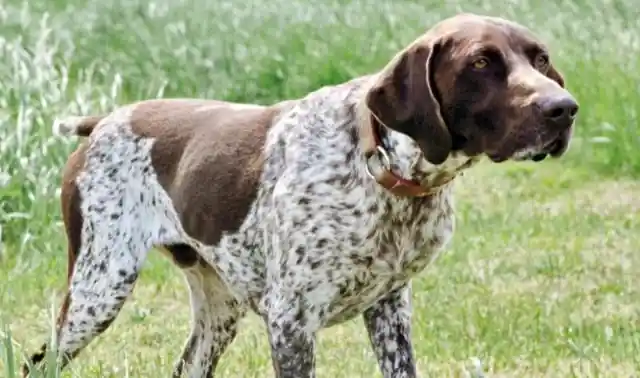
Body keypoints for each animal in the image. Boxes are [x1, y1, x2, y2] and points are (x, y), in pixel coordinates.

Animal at [23, 13, 580, 378]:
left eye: (541, 59)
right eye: (481, 62)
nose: (564, 108)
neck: (379, 165)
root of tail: (104, 121)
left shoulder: (390, 310)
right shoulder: (291, 321)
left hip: (217, 312)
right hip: (98, 289)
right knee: (40, 362)